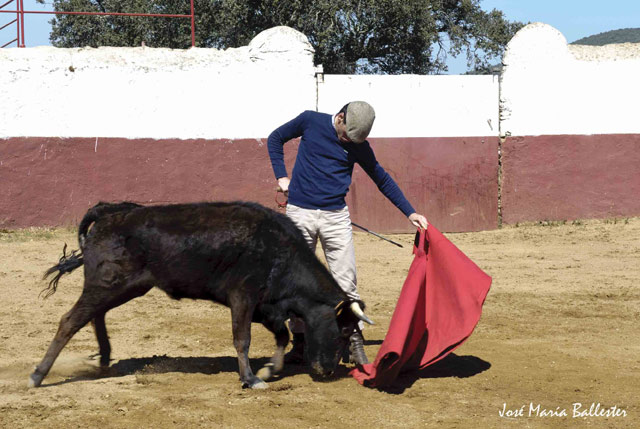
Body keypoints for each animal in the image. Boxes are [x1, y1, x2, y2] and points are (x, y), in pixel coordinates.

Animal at [30, 201, 372, 388]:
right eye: (343, 330)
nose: (327, 371)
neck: (279, 251)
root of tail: (110, 213)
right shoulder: (243, 298)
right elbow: (242, 339)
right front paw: (251, 379)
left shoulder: (266, 306)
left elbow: (282, 335)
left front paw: (269, 369)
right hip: (108, 284)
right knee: (70, 320)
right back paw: (38, 375)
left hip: (121, 286)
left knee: (94, 315)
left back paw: (103, 358)